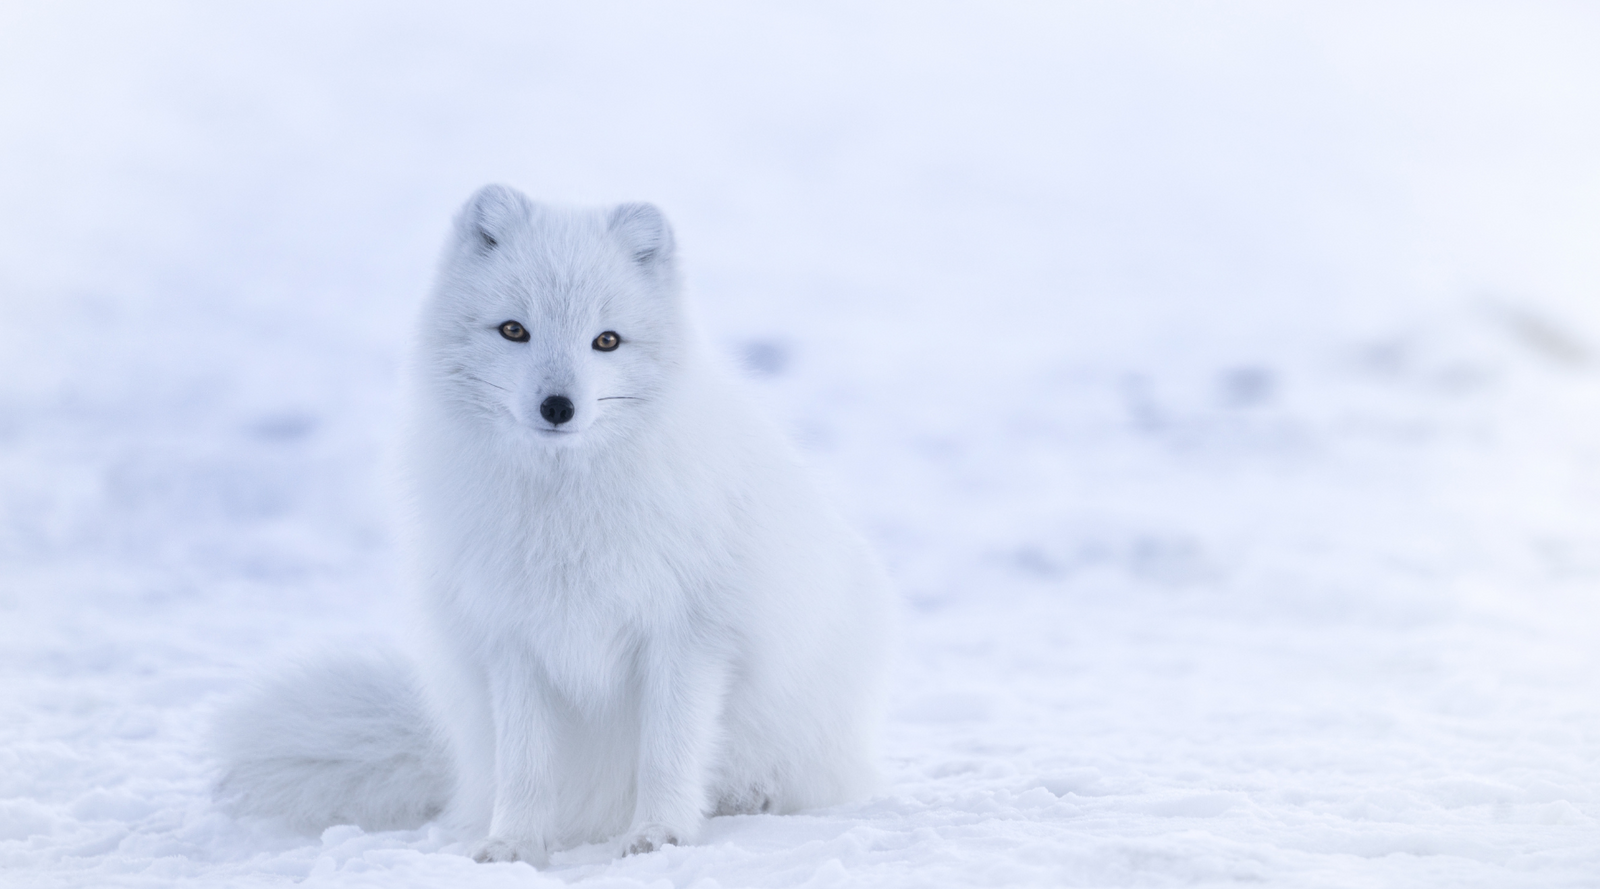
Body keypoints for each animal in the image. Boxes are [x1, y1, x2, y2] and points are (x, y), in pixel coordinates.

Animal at [213, 185, 891, 865]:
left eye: (607, 341)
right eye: (515, 330)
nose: (558, 407)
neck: (565, 513)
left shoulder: (688, 635)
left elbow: (668, 752)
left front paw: (659, 836)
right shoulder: (512, 640)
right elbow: (525, 765)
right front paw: (513, 845)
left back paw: (750, 796)